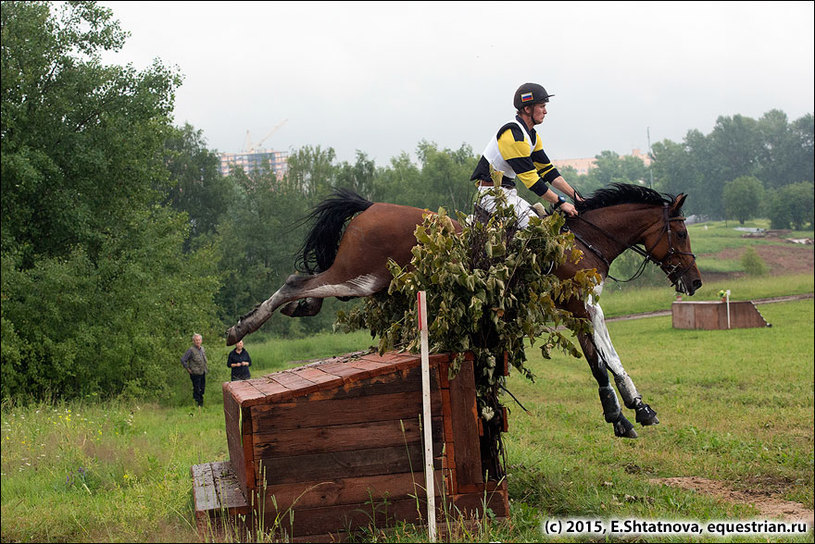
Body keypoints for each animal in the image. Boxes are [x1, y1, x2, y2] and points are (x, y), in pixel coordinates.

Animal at [226, 183, 704, 438]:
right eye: (681, 232)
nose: (695, 282)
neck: (581, 241)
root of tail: (369, 207)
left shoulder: (581, 309)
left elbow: (604, 359)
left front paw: (632, 411)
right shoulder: (577, 306)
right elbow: (603, 360)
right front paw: (626, 414)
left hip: (366, 283)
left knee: (308, 289)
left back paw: (292, 311)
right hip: (357, 275)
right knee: (297, 281)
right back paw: (240, 328)